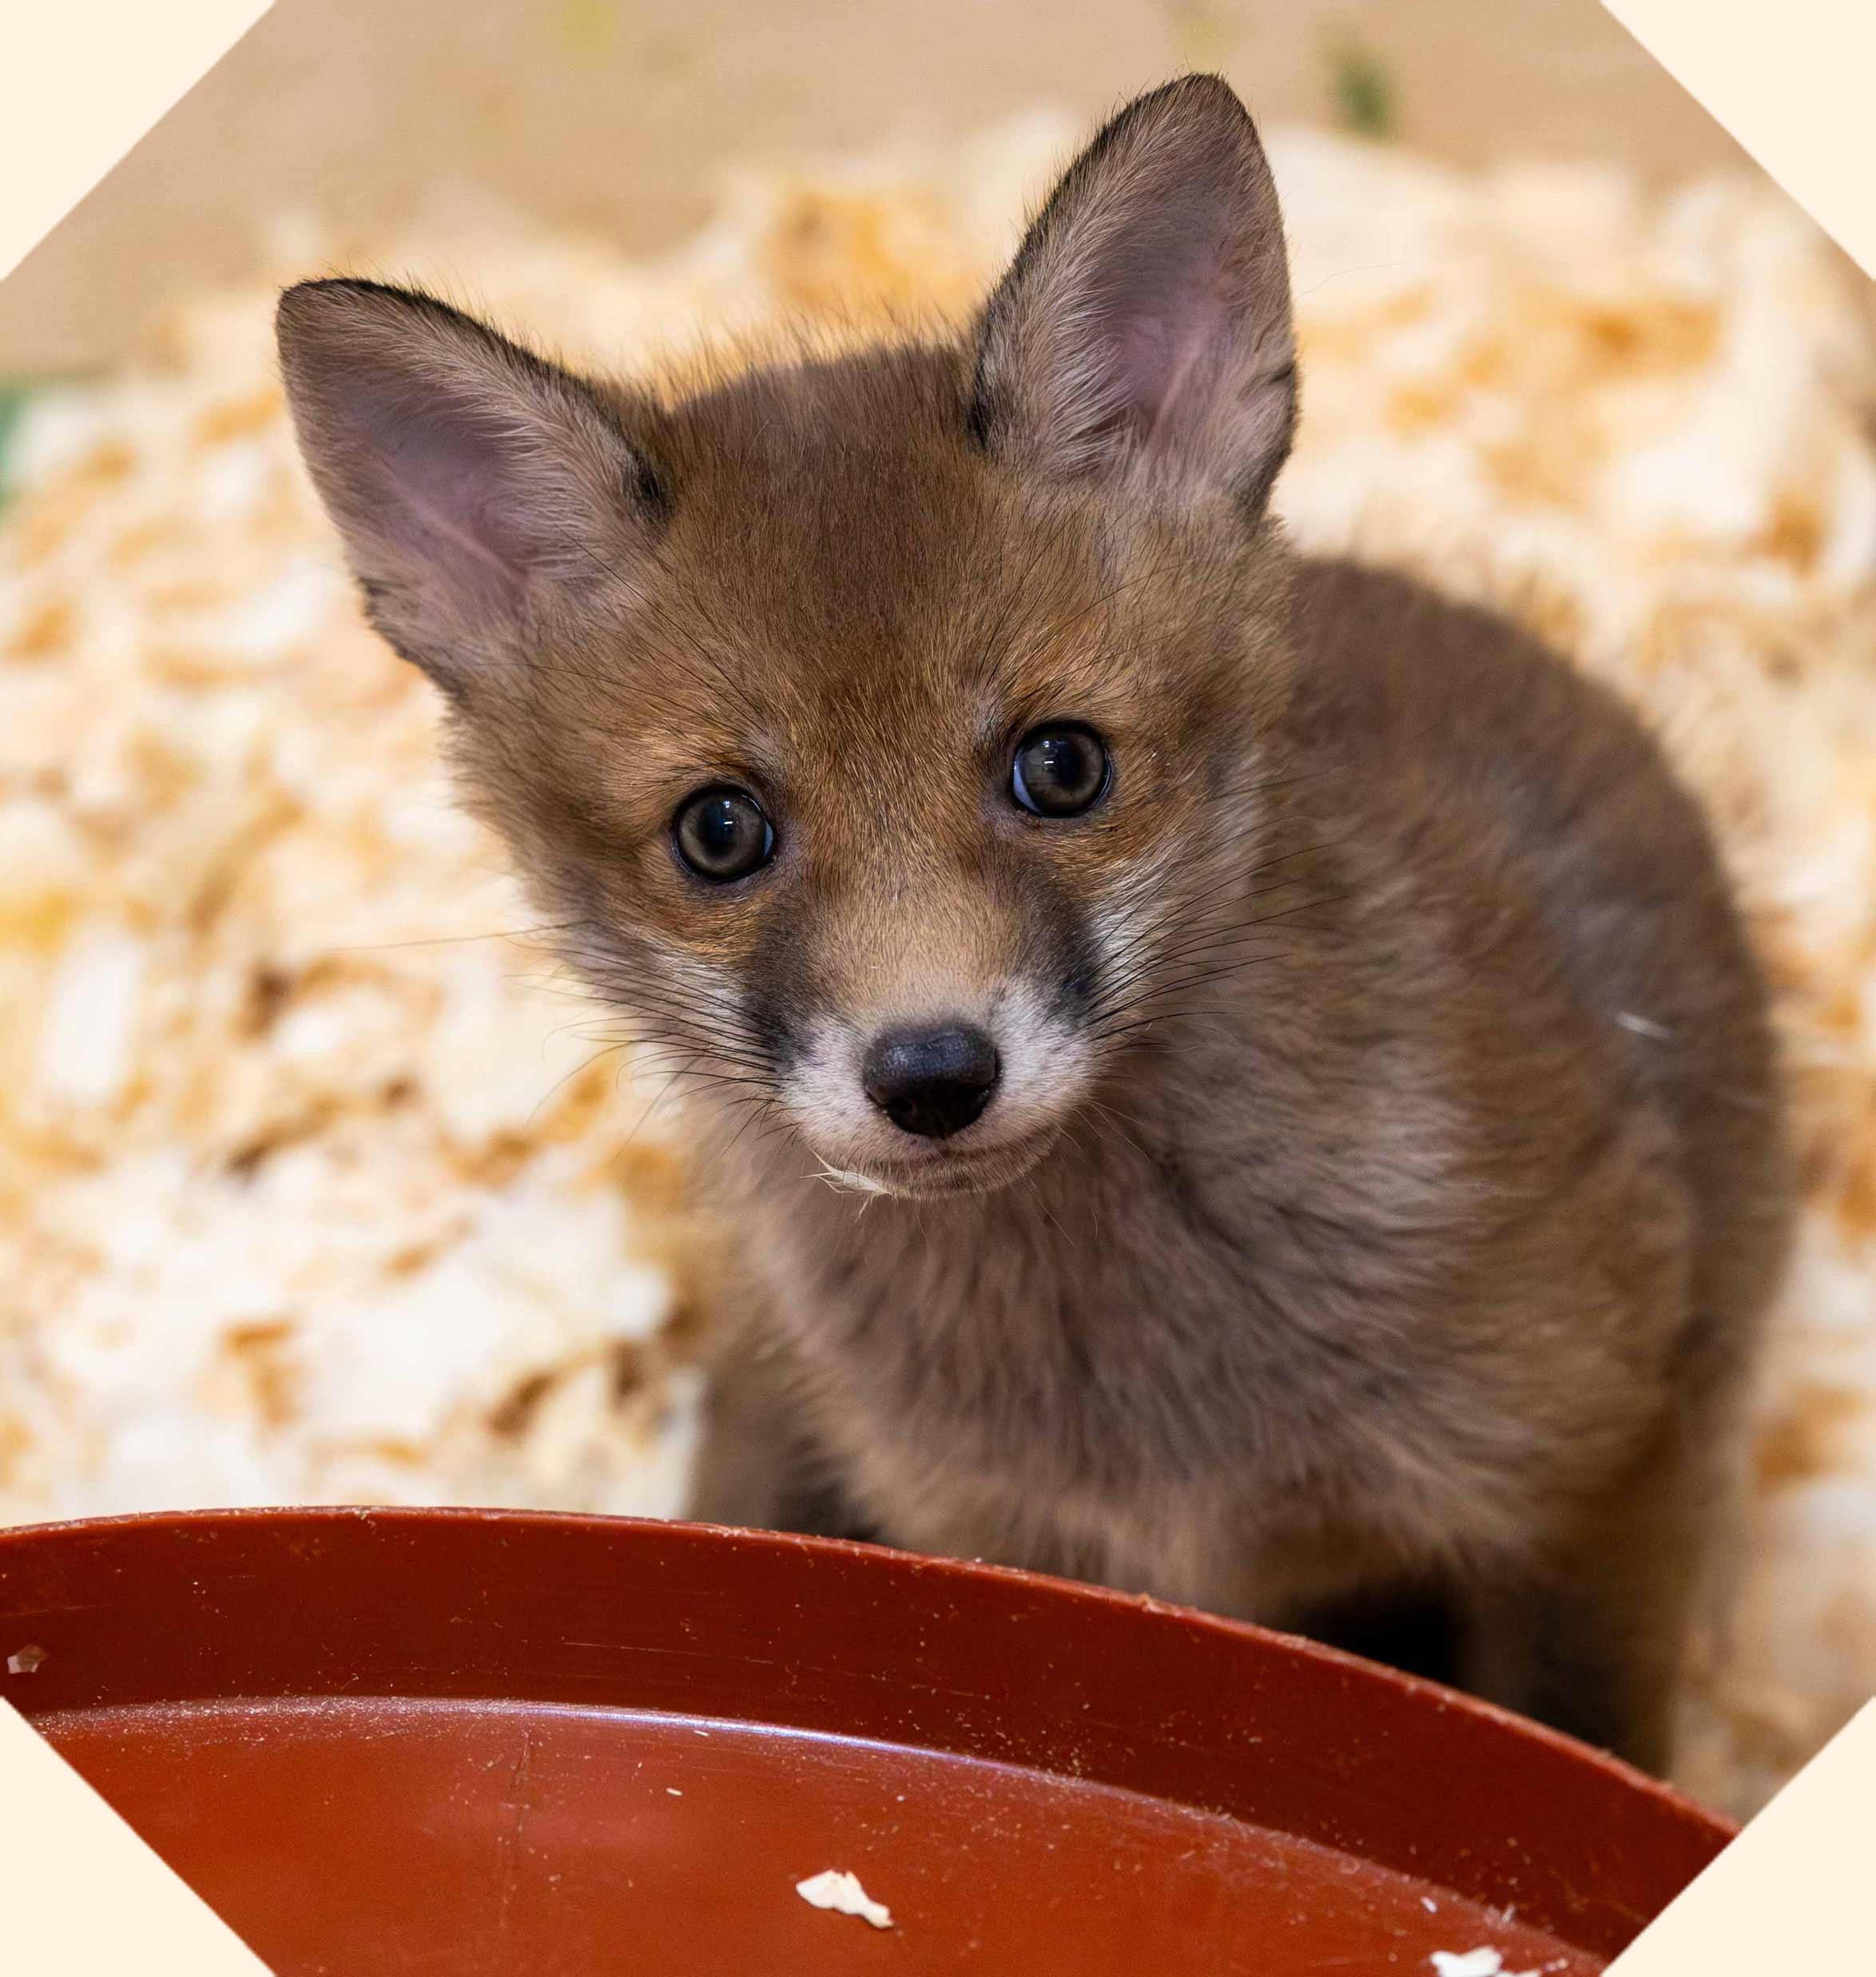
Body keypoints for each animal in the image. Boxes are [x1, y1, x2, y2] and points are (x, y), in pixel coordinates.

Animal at [276, 75, 1792, 1775]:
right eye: (720, 832)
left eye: (1060, 767)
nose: (931, 1077)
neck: (1136, 1396)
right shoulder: (1006, 1546)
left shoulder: (1595, 1454)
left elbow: (1595, 1735)